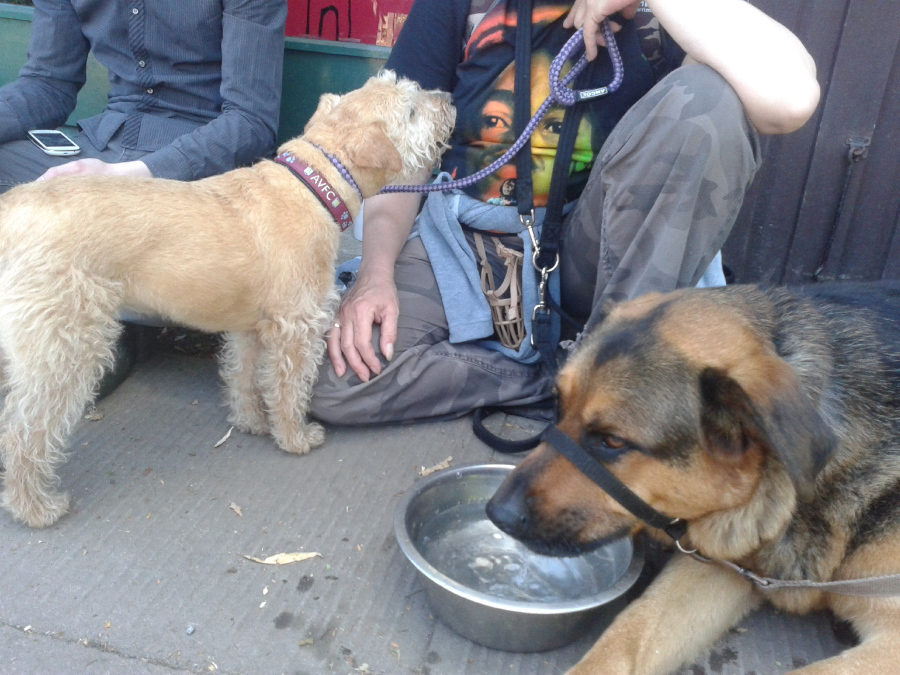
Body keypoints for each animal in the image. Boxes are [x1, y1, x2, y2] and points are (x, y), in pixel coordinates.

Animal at [0, 72, 450, 528]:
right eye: (411, 110)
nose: (448, 98)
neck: (314, 187)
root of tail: (11, 208)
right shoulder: (297, 328)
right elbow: (289, 390)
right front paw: (294, 437)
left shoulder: (250, 328)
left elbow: (244, 377)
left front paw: (251, 422)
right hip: (64, 346)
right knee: (22, 430)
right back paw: (36, 506)